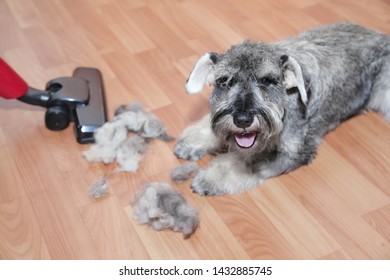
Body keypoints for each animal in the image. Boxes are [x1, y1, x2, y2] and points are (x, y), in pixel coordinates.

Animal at [174, 22, 390, 195]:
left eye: (267, 80)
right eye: (224, 81)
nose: (242, 120)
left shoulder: (292, 152)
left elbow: (245, 160)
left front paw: (211, 178)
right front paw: (193, 142)